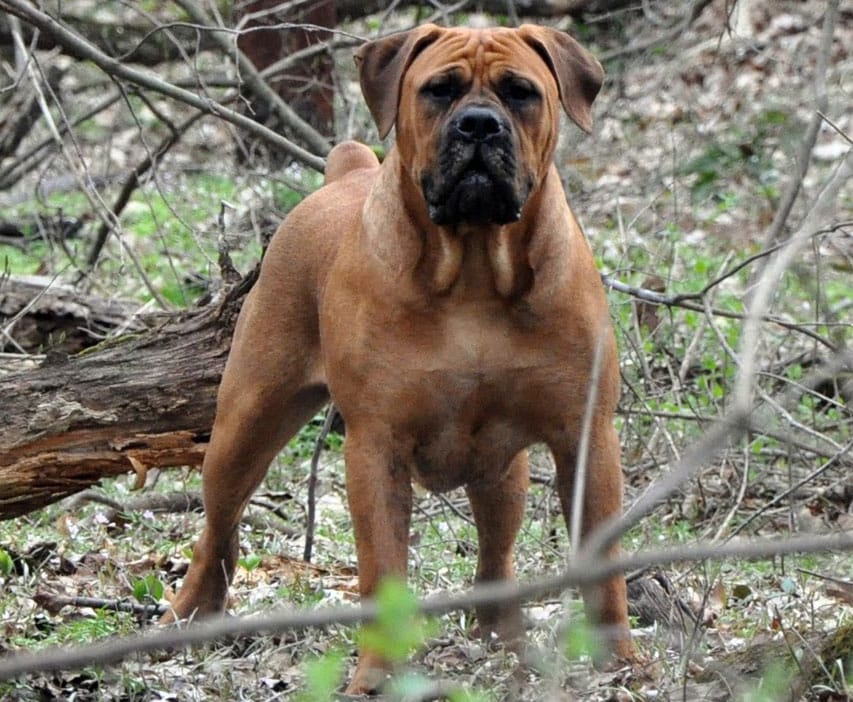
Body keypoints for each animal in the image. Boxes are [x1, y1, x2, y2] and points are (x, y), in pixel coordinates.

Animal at [166, 24, 632, 696]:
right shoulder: (376, 446)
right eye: (438, 91)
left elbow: (603, 563)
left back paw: (505, 639)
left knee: (495, 554)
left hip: (500, 469)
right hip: (246, 424)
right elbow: (382, 567)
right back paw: (185, 614)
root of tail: (343, 175)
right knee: (216, 531)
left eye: (521, 93)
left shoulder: (585, 435)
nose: (479, 125)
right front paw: (377, 676)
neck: (473, 269)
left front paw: (621, 662)